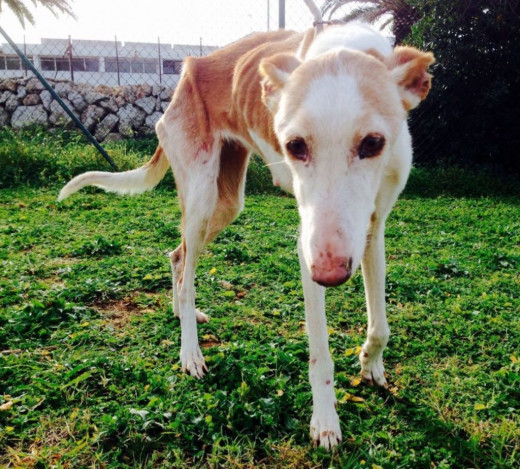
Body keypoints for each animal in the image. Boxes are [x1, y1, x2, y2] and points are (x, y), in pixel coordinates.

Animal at [58, 21, 434, 446]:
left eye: (373, 143)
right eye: (294, 145)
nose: (329, 274)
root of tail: (187, 73)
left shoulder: (372, 229)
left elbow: (381, 325)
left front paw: (371, 363)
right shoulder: (309, 247)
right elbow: (320, 352)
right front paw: (325, 421)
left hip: (227, 204)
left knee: (178, 255)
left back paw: (180, 313)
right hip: (202, 196)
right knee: (186, 275)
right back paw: (190, 353)